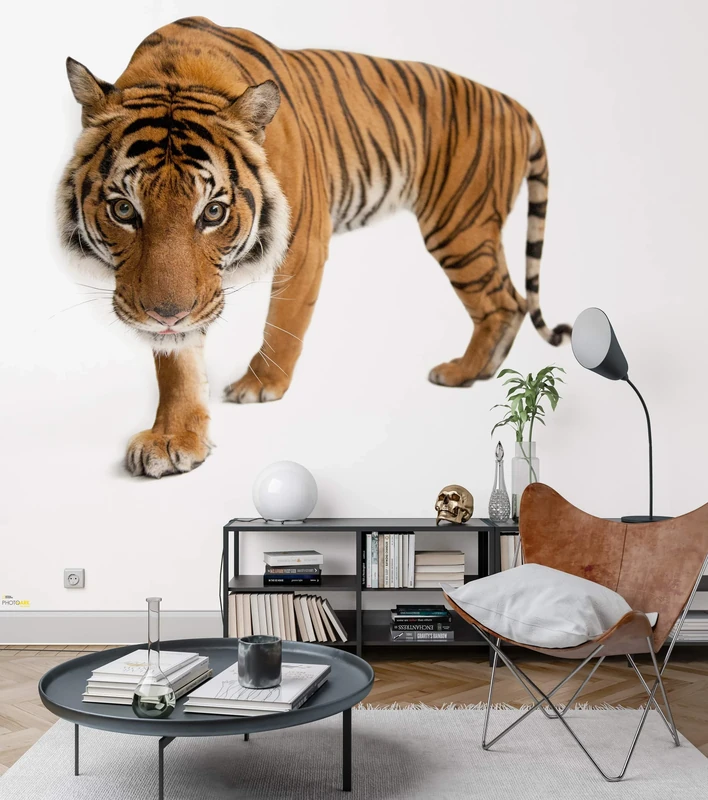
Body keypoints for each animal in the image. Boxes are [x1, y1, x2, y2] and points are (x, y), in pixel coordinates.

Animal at [59, 16, 570, 478]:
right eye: (124, 210)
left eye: (213, 212)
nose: (166, 315)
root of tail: (513, 103)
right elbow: (177, 362)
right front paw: (173, 438)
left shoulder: (304, 241)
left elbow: (283, 322)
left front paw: (259, 386)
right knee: (511, 299)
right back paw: (482, 370)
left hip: (460, 226)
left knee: (504, 300)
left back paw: (460, 372)